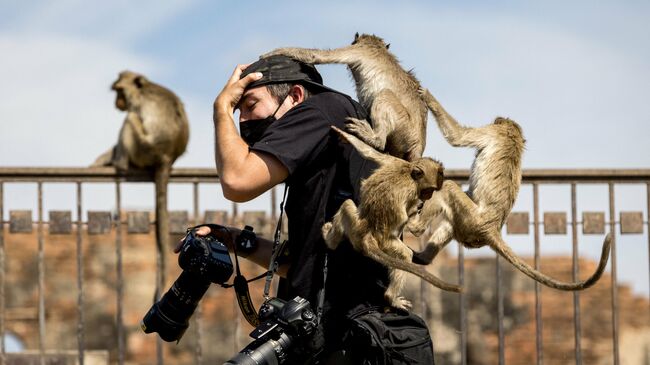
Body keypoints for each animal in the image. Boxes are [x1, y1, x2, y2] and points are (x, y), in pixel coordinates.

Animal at [260, 32, 428, 161]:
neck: (377, 46)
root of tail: (418, 143)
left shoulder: (360, 50)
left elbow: (317, 57)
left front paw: (274, 52)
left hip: (403, 126)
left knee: (384, 95)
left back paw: (375, 139)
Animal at [322, 126, 458, 310]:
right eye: (429, 190)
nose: (428, 196)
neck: (409, 173)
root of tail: (367, 236)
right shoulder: (411, 191)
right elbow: (407, 222)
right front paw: (415, 214)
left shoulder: (395, 162)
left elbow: (370, 153)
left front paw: (347, 136)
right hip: (382, 243)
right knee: (404, 254)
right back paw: (390, 298)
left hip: (355, 228)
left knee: (347, 205)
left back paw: (330, 241)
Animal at [408, 88, 612, 290]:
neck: (513, 135)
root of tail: (492, 229)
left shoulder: (493, 132)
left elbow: (458, 136)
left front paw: (427, 96)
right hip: (469, 226)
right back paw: (423, 258)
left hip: (473, 219)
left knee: (448, 187)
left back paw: (415, 227)